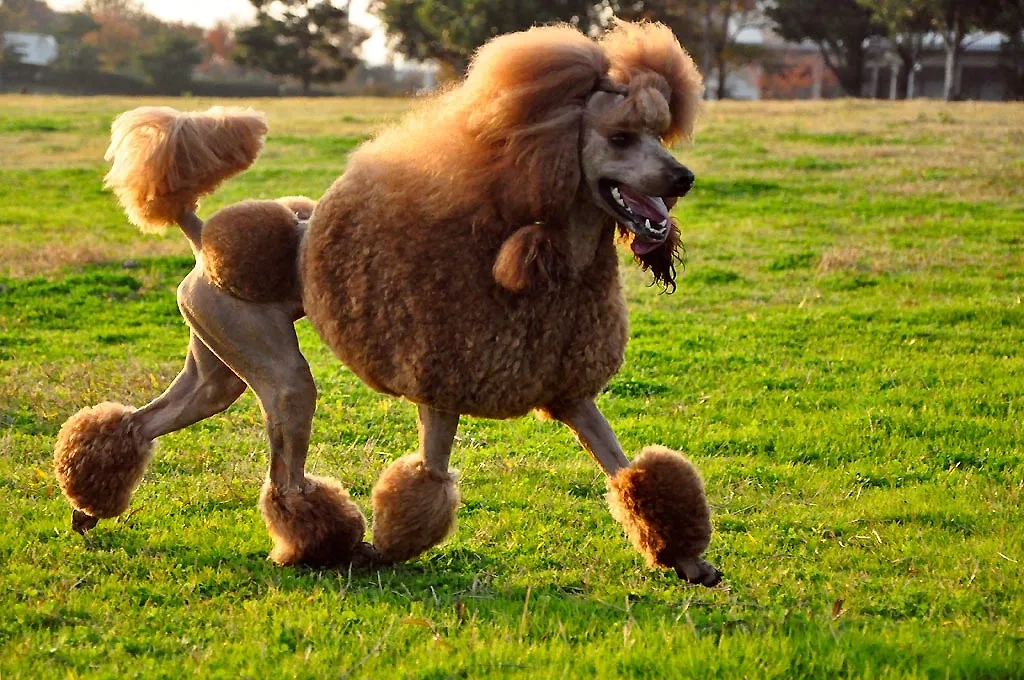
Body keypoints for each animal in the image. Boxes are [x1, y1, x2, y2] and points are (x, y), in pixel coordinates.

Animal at [54, 19, 720, 585]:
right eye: (620, 138)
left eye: (659, 134)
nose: (683, 177)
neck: (546, 253)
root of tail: (200, 235)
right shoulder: (443, 391)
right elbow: (425, 485)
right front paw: (382, 552)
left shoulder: (569, 393)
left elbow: (626, 469)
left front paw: (687, 560)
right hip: (278, 374)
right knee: (283, 474)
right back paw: (324, 546)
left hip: (217, 369)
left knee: (144, 424)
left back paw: (89, 505)